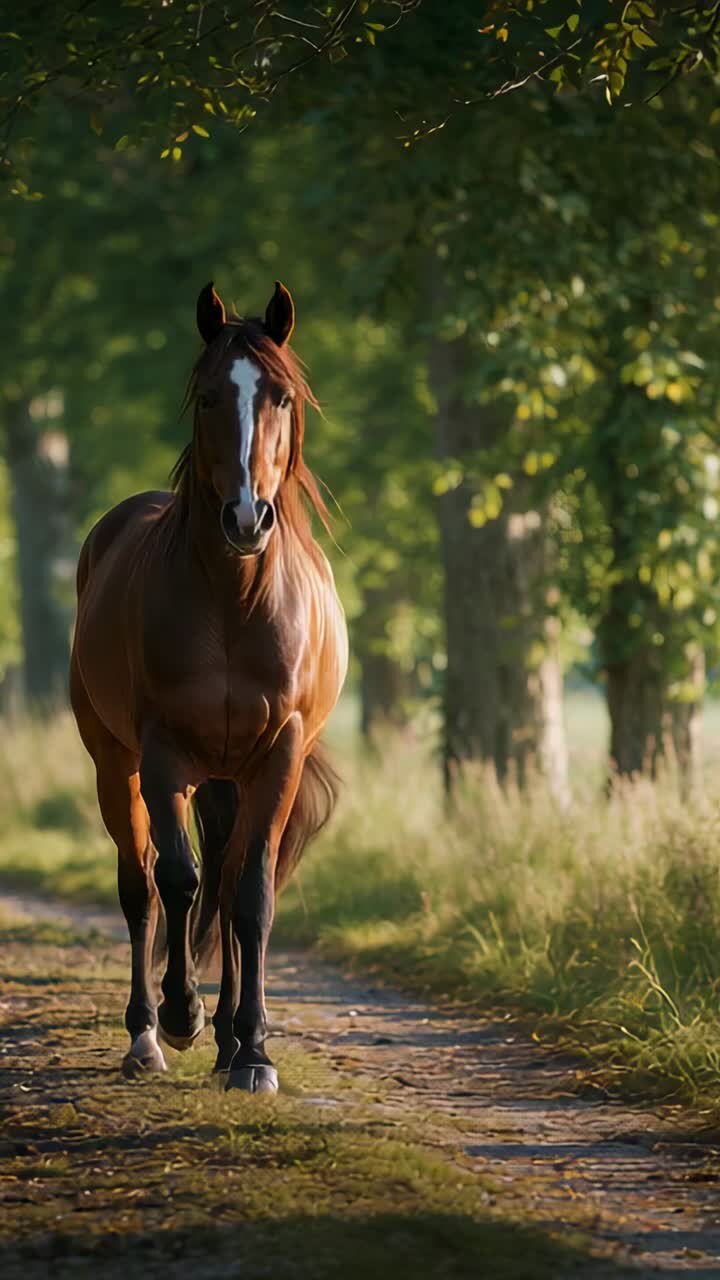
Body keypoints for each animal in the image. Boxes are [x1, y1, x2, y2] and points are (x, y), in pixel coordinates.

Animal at [70, 281, 348, 1093]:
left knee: (225, 881)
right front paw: (181, 1014)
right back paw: (148, 1034)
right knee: (141, 886)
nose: (246, 517)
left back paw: (227, 1038)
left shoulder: (277, 757)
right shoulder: (164, 755)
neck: (233, 601)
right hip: (117, 764)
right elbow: (176, 877)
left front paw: (252, 1051)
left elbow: (248, 895)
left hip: (230, 775)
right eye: (206, 397)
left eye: (281, 396)